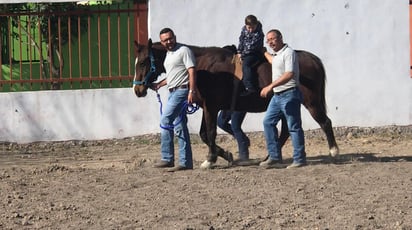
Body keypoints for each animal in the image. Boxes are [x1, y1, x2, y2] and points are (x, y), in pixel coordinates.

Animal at [134, 40, 340, 169]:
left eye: (143, 62)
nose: (138, 90)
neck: (202, 67)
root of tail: (310, 58)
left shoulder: (211, 107)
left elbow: (210, 132)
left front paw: (210, 160)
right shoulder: (207, 107)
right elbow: (204, 134)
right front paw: (226, 155)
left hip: (311, 102)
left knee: (325, 122)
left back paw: (334, 152)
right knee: (285, 132)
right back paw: (268, 158)